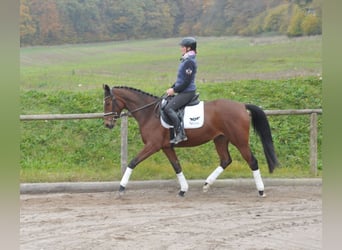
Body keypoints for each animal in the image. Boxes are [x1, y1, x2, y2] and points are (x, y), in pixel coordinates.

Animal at [102, 84, 278, 197]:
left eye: (108, 102)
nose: (107, 124)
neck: (149, 113)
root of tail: (241, 106)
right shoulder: (166, 147)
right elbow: (177, 166)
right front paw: (183, 190)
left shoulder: (153, 145)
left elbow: (132, 162)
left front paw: (121, 188)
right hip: (220, 139)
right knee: (225, 160)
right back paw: (207, 184)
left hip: (239, 141)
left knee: (252, 161)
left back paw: (261, 191)